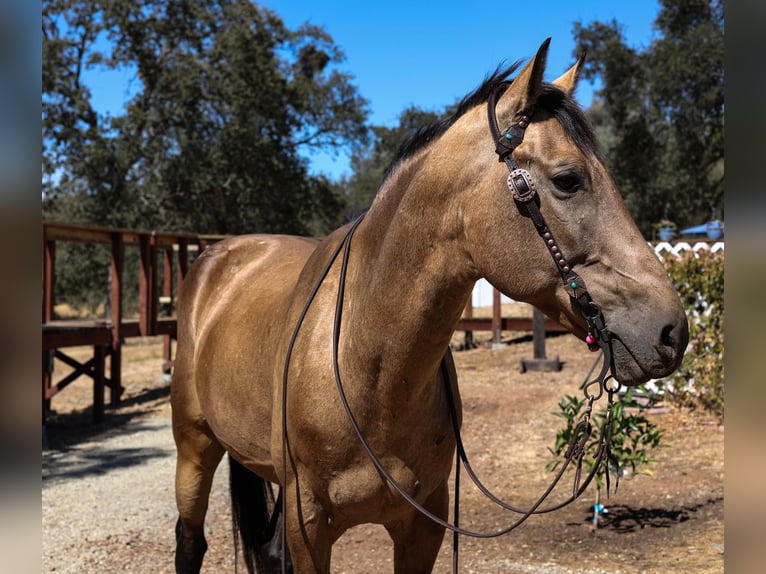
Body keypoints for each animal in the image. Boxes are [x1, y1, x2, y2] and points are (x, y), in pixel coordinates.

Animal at [171, 39, 688, 574]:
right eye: (569, 180)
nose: (672, 331)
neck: (367, 367)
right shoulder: (309, 526)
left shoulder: (423, 525)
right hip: (194, 448)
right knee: (190, 540)